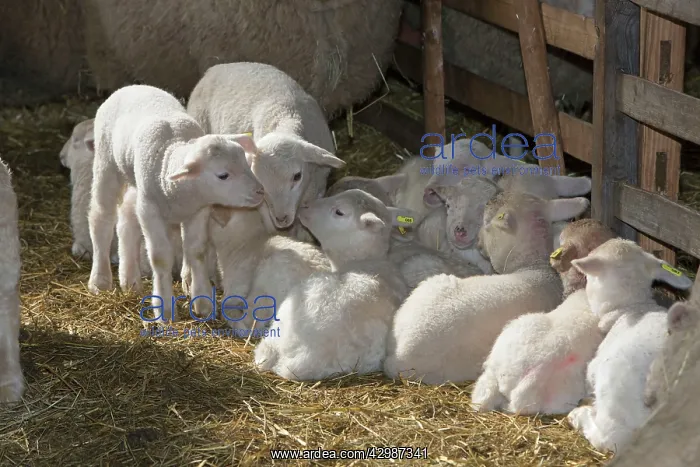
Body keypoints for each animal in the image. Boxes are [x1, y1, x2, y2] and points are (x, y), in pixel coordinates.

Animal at [87, 84, 265, 324]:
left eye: (246, 163)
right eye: (223, 175)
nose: (260, 191)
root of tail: (133, 86)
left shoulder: (198, 211)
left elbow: (196, 251)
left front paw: (202, 302)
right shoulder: (150, 211)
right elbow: (160, 258)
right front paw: (164, 310)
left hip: (135, 181)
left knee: (126, 219)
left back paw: (130, 279)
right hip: (107, 164)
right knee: (102, 218)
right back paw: (100, 280)